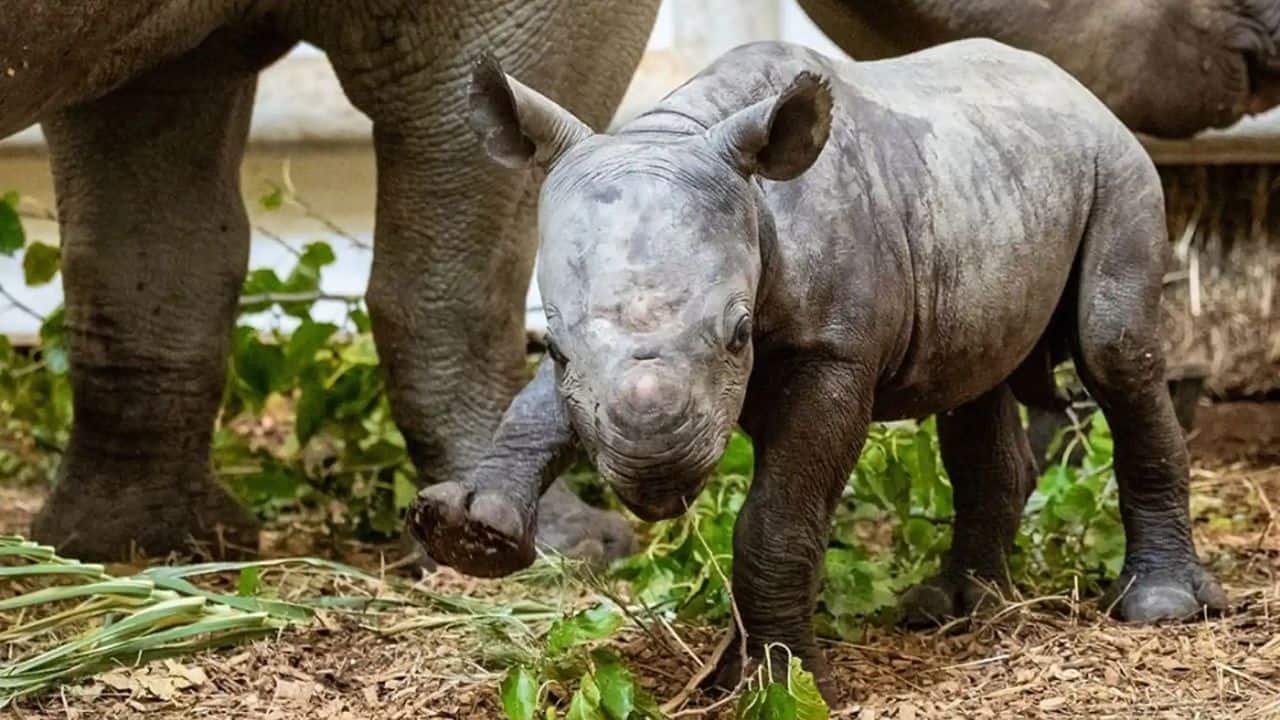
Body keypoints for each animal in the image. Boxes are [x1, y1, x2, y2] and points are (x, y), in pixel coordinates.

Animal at [412, 40, 1226, 700]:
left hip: (1120, 169)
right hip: (994, 181)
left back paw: (1159, 607)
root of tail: (1079, 87)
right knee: (974, 380)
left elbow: (777, 519)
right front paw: (472, 534)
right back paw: (956, 608)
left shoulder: (836, 353)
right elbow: (535, 410)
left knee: (1113, 351)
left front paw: (783, 685)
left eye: (739, 335)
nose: (656, 466)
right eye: (551, 345)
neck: (681, 131)